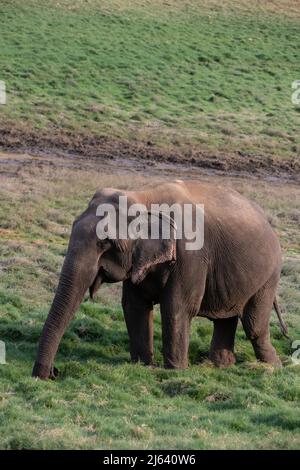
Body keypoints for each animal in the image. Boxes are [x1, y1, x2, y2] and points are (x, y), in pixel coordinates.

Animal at [31, 178, 288, 380]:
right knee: (225, 319)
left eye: (107, 243)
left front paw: (175, 371)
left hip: (269, 276)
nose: (53, 373)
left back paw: (272, 367)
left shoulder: (191, 255)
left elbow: (177, 307)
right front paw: (143, 365)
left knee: (254, 325)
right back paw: (221, 366)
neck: (142, 195)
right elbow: (134, 305)